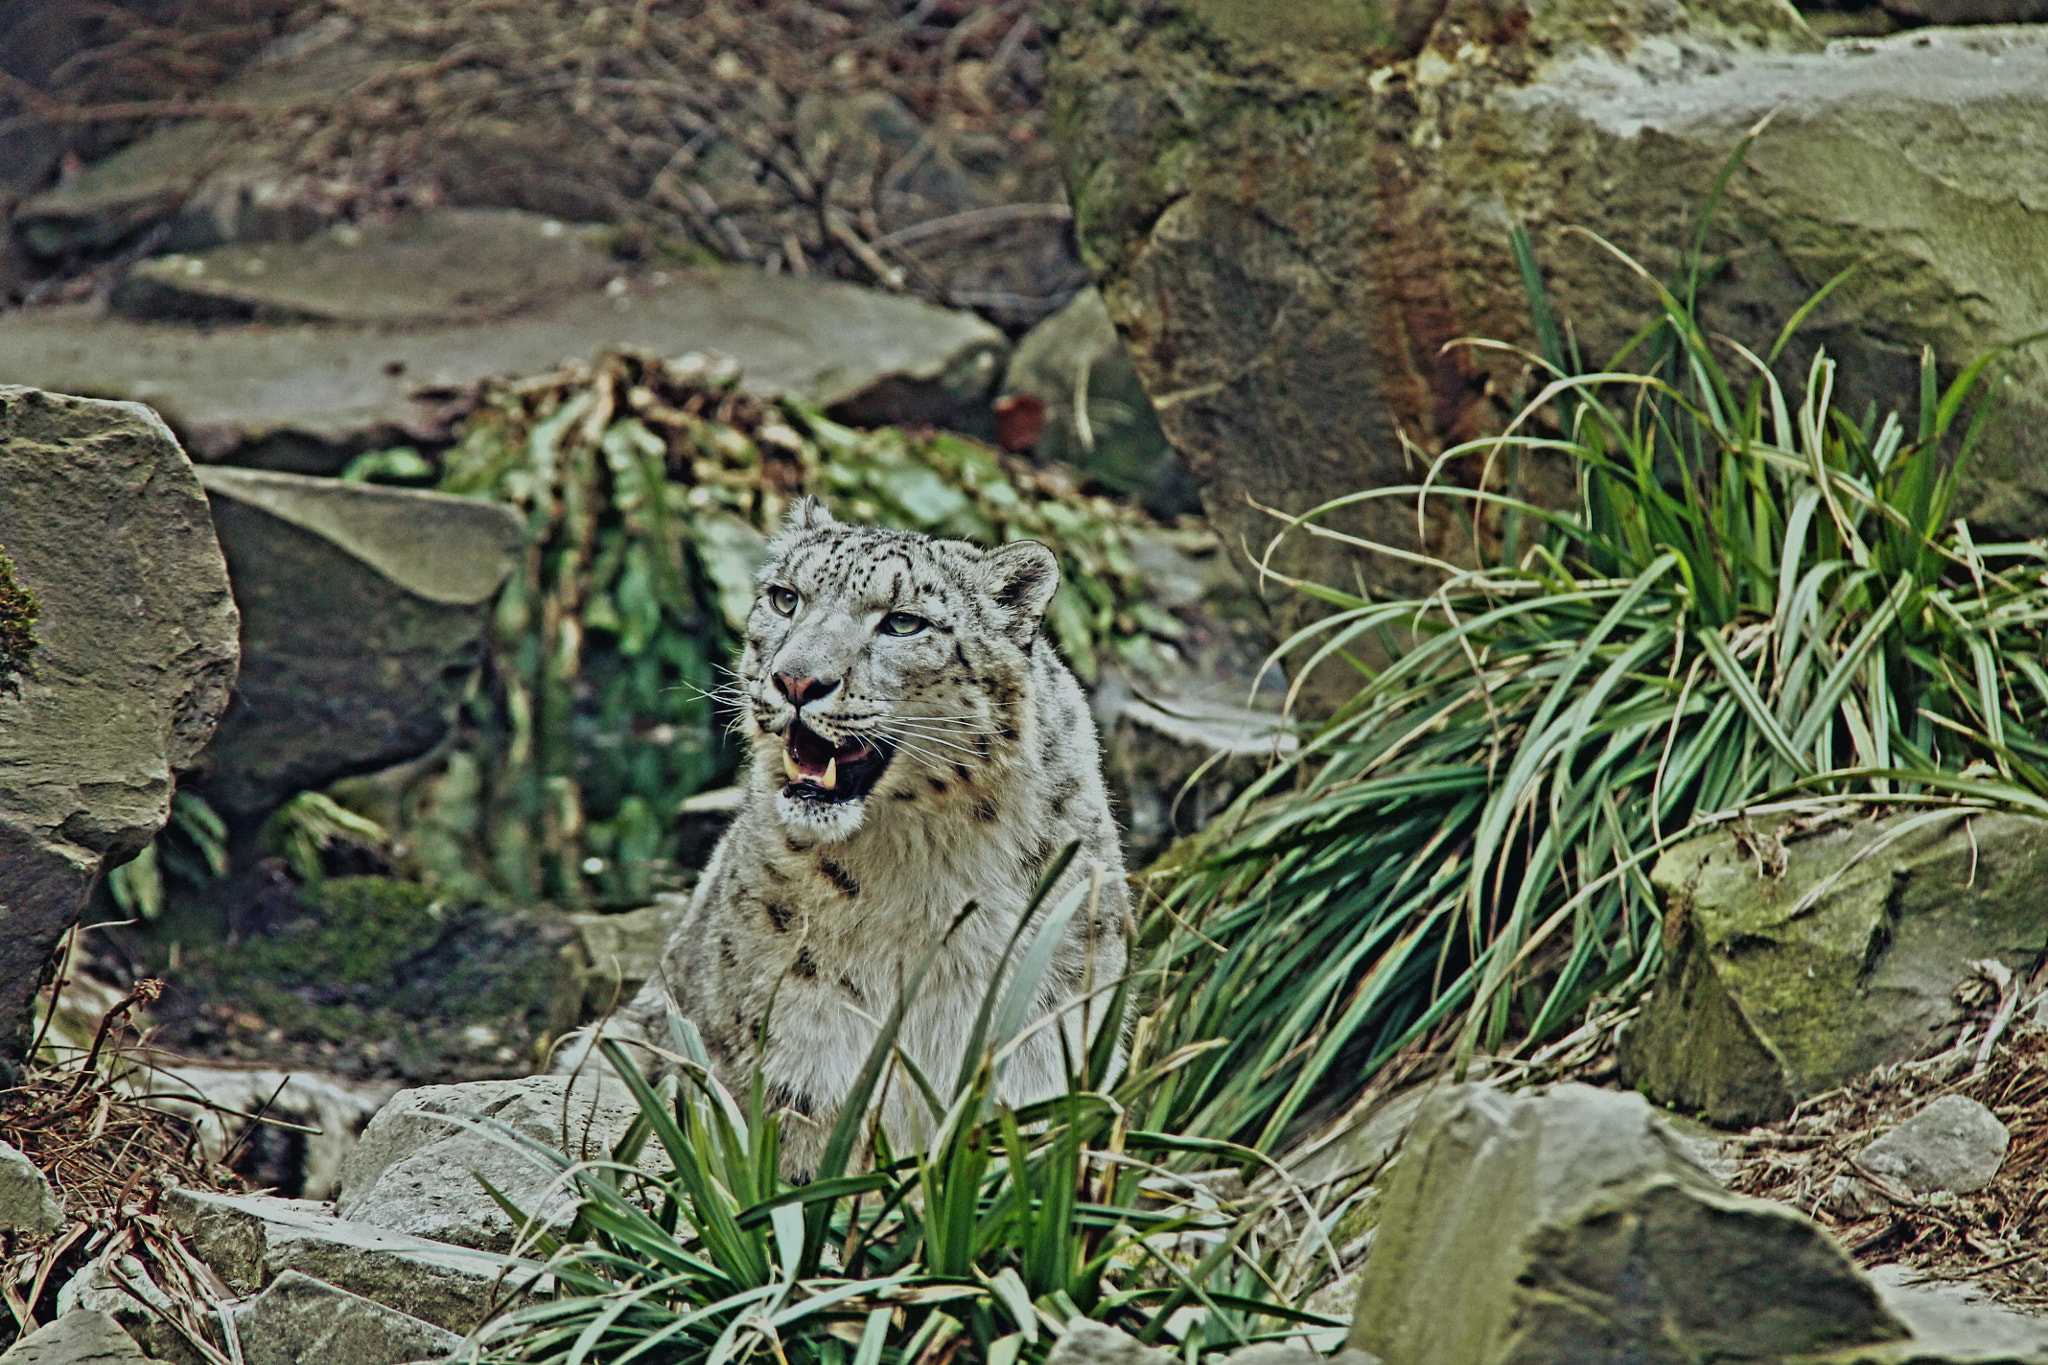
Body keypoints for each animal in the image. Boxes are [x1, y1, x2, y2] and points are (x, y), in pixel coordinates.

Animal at [558, 498, 1129, 1177]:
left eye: (904, 623)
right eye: (785, 598)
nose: (795, 681)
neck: (922, 871)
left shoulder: (1045, 1047)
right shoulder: (798, 1060)